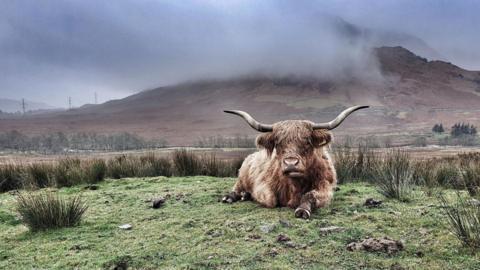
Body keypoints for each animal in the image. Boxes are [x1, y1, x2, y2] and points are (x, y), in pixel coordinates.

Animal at [221, 105, 368, 217]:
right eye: (278, 143)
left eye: (307, 141)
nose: (291, 164)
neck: (295, 185)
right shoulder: (262, 183)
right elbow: (270, 200)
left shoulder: (325, 186)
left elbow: (311, 195)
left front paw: (302, 210)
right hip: (241, 177)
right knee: (236, 188)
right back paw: (232, 197)